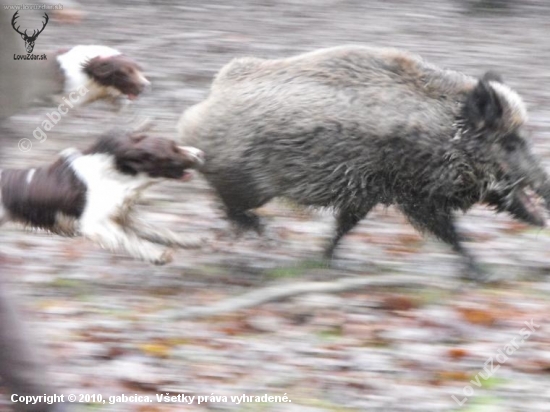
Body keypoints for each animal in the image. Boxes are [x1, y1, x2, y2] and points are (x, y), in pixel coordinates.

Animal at [0, 130, 205, 264]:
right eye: (173, 149)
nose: (200, 152)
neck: (119, 175)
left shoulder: (121, 215)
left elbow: (159, 230)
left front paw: (191, 240)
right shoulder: (92, 223)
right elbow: (126, 238)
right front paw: (156, 254)